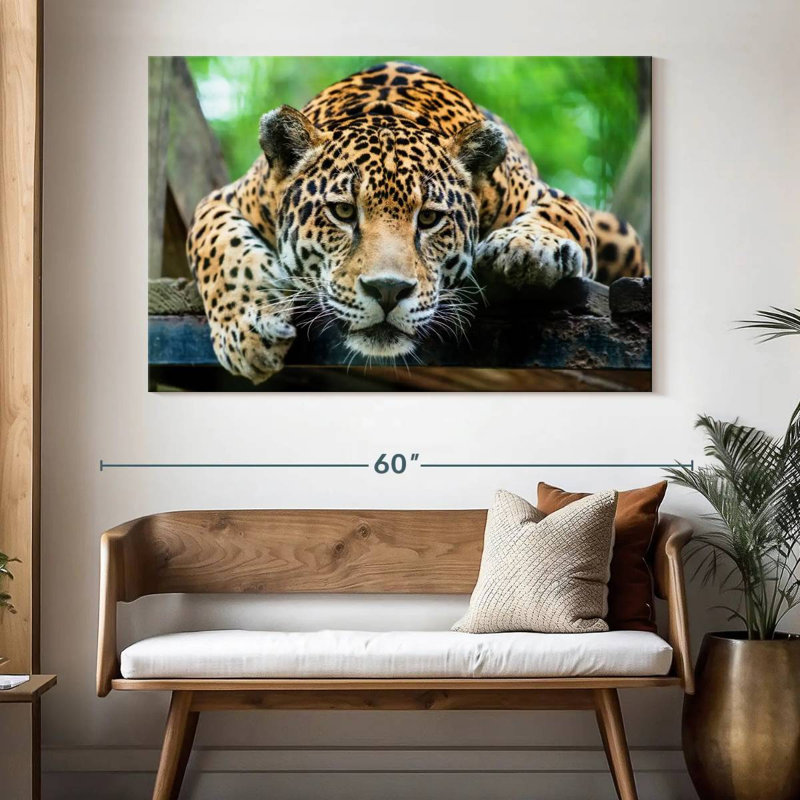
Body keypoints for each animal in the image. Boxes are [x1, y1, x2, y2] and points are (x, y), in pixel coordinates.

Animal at [187, 62, 649, 383]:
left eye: (428, 218)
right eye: (343, 212)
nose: (388, 291)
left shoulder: (548, 195)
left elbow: (559, 216)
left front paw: (525, 247)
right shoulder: (223, 199)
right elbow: (220, 250)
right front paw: (247, 333)